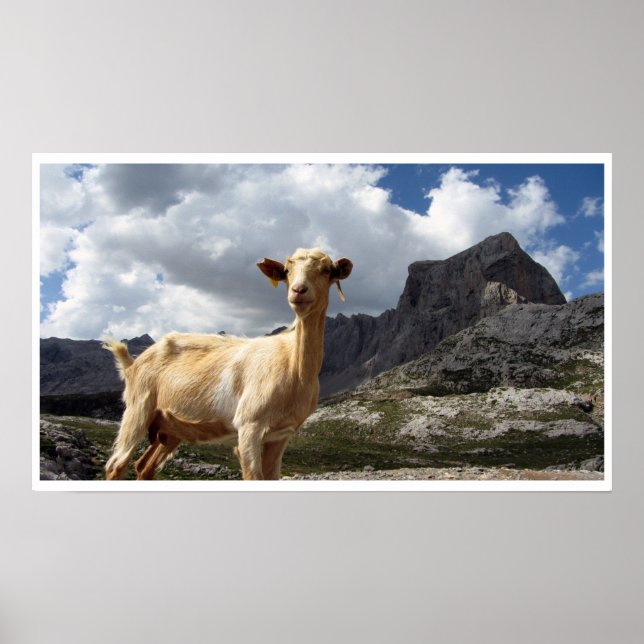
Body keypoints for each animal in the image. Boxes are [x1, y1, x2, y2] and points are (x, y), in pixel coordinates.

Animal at [103, 248, 353, 481]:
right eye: (287, 271)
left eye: (326, 270)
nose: (299, 291)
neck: (293, 364)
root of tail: (132, 363)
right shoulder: (249, 425)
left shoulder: (281, 435)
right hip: (138, 408)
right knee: (116, 465)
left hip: (170, 428)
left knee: (144, 467)